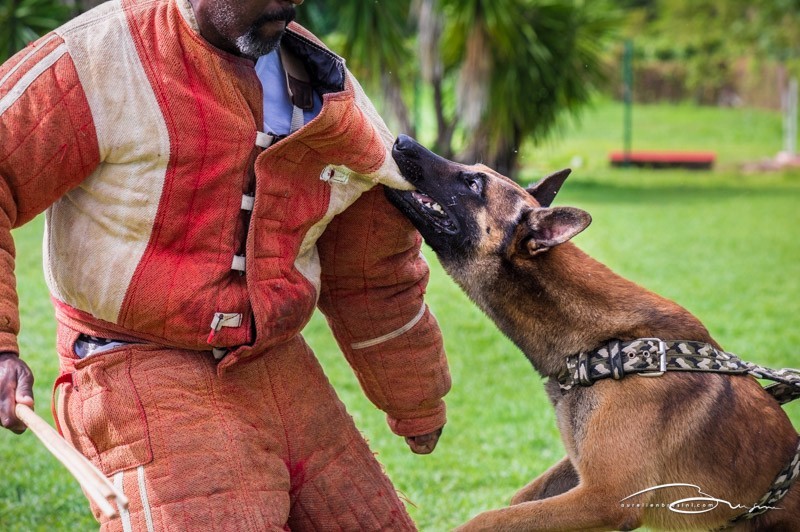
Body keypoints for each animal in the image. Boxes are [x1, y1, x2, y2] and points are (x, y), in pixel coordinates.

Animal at [386, 136, 800, 532]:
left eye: (473, 183)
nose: (402, 140)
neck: (604, 342)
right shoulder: (580, 469)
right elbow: (517, 501)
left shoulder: (604, 498)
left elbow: (490, 519)